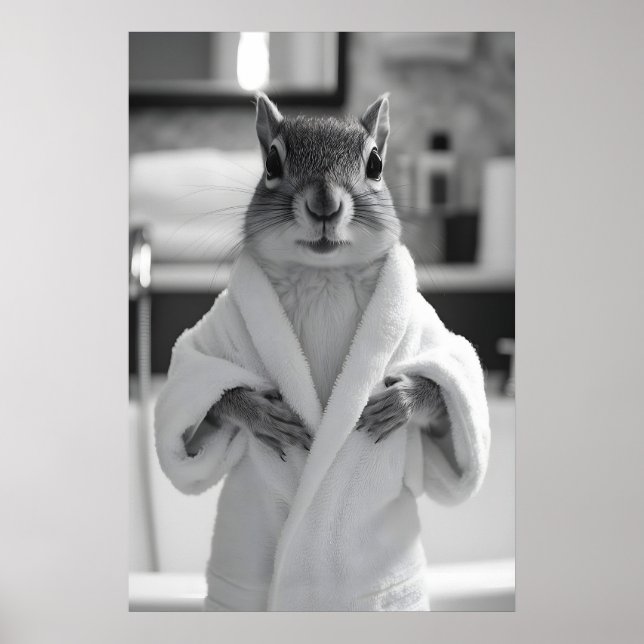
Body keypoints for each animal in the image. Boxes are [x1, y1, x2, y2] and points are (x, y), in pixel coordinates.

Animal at [184, 92, 449, 461]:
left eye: (376, 165)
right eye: (271, 163)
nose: (325, 203)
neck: (324, 277)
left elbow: (446, 389)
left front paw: (402, 402)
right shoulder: (212, 345)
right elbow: (208, 388)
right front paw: (260, 415)